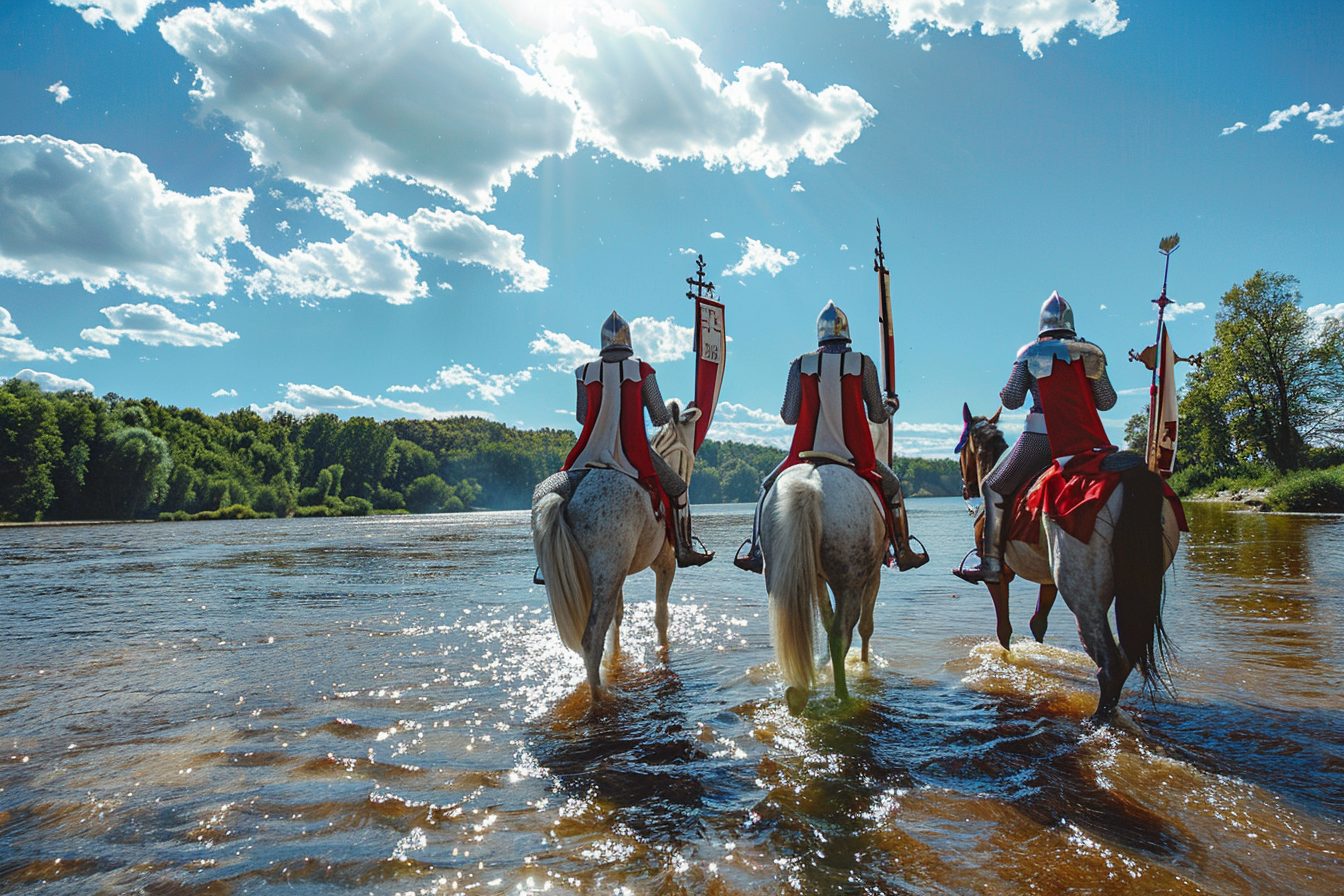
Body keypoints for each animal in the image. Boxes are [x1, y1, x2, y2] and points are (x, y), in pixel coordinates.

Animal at [526, 402, 704, 703]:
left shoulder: (619, 575)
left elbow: (618, 618)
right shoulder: (665, 565)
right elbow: (661, 617)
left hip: (604, 576)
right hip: (607, 576)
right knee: (591, 640)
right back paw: (599, 697)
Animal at [763, 462, 887, 714]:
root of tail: (809, 483)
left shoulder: (818, 578)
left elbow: (826, 618)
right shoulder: (874, 575)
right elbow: (866, 627)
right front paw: (864, 663)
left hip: (779, 575)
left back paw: (798, 691)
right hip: (850, 584)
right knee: (841, 633)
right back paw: (843, 696)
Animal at [962, 405, 1182, 720]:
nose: (967, 487)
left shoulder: (999, 576)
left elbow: (1004, 630)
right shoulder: (1048, 580)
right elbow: (1038, 623)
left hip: (1084, 597)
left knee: (1110, 664)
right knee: (1126, 655)